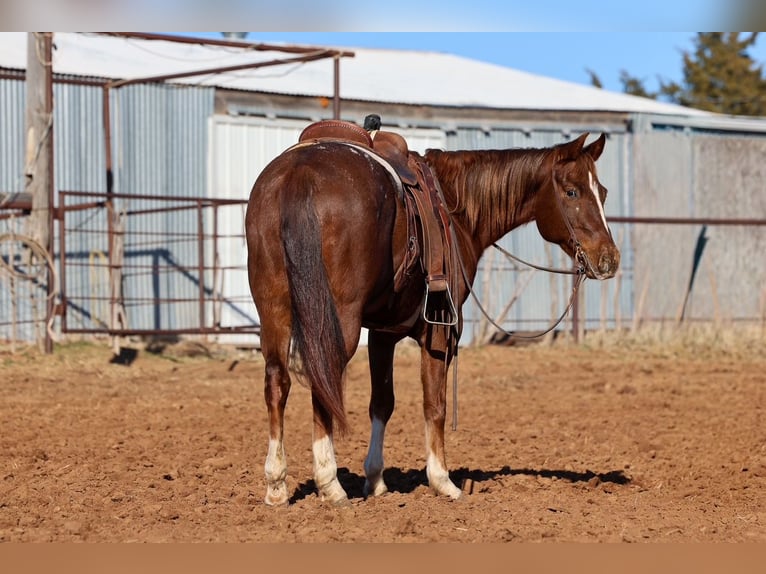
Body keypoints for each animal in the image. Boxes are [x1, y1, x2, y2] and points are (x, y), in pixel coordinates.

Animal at [245, 128, 620, 506]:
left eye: (603, 192)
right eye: (571, 191)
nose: (609, 259)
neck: (456, 212)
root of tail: (300, 173)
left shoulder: (383, 333)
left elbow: (382, 403)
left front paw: (376, 479)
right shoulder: (439, 330)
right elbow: (434, 403)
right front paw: (442, 480)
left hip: (274, 310)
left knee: (277, 382)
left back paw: (276, 484)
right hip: (336, 322)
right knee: (323, 380)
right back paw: (330, 483)